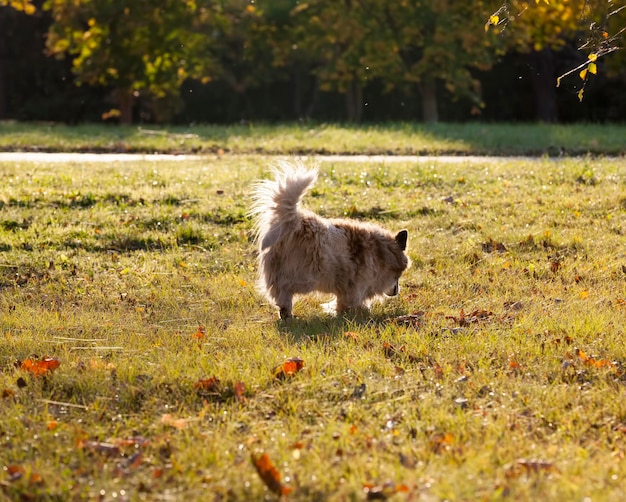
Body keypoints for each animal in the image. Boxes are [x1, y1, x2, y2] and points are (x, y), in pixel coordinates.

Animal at [249, 161, 410, 318]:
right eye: (398, 275)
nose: (396, 291)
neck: (381, 252)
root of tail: (295, 222)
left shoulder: (345, 289)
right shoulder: (356, 287)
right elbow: (349, 303)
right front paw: (351, 313)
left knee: (281, 296)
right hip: (306, 277)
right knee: (285, 291)